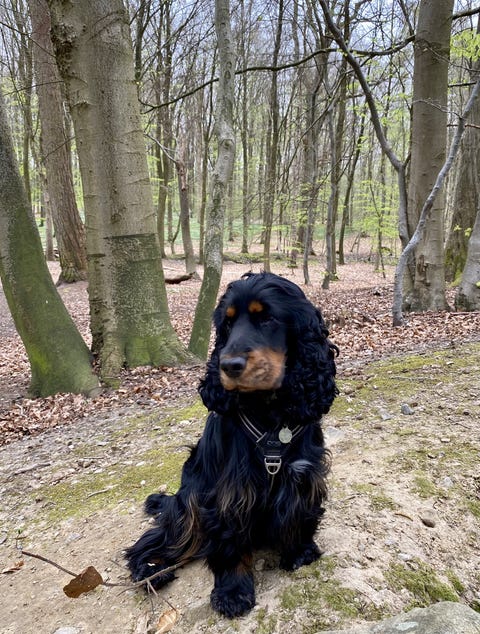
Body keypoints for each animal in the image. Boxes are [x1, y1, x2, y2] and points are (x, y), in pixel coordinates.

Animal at [125, 272, 338, 617]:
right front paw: (233, 592)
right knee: (156, 540)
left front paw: (300, 552)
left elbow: (300, 515)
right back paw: (150, 569)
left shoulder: (303, 475)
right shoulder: (230, 493)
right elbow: (230, 544)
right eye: (227, 324)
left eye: (267, 318)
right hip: (189, 502)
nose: (229, 366)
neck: (270, 416)